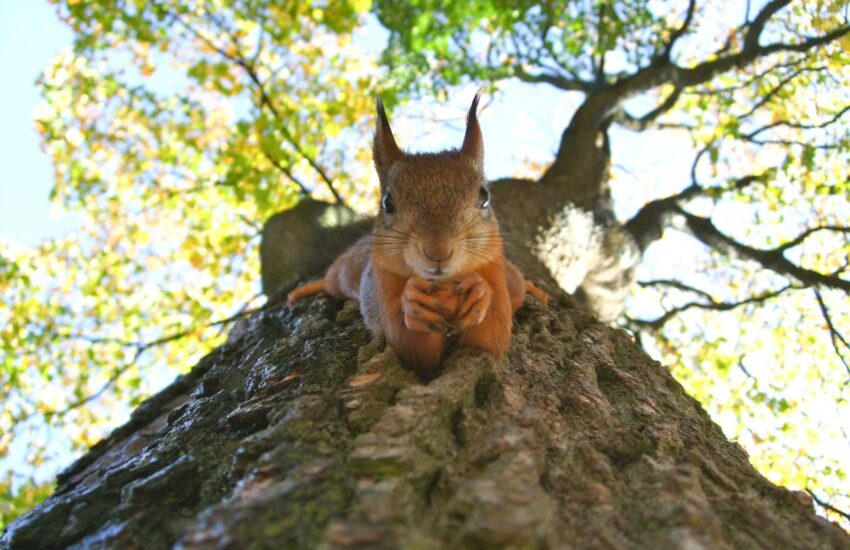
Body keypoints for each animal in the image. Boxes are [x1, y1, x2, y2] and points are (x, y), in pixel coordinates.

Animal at [288, 95, 548, 380]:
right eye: (387, 202)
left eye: (484, 195)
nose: (438, 252)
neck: (444, 286)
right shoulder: (384, 285)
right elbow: (413, 350)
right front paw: (413, 301)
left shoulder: (494, 273)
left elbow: (492, 339)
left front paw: (480, 292)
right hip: (347, 272)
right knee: (332, 279)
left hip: (511, 279)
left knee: (519, 284)